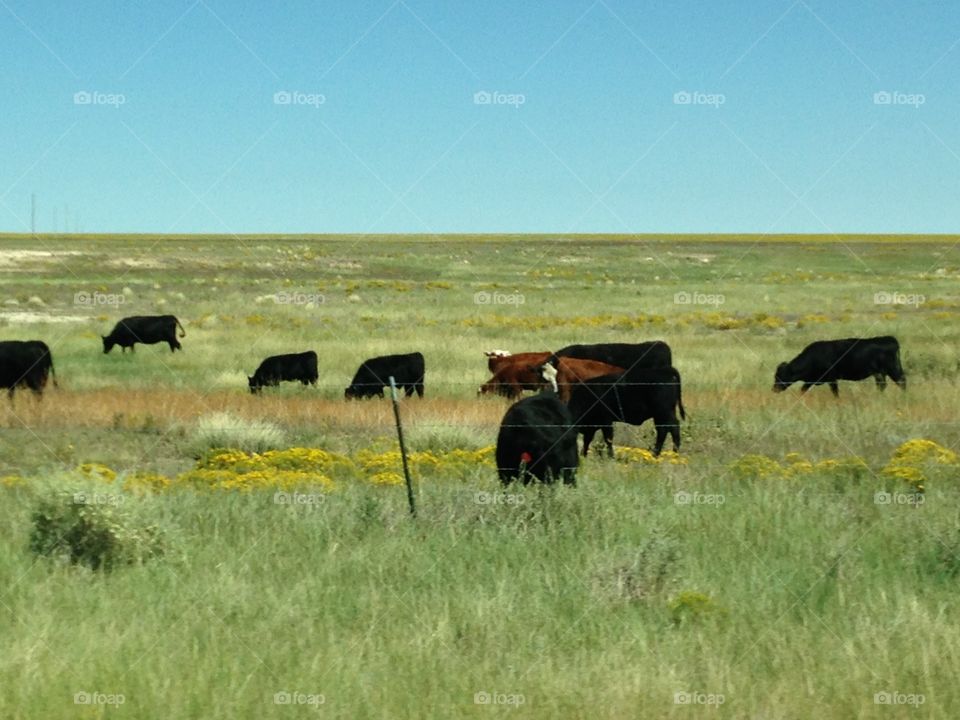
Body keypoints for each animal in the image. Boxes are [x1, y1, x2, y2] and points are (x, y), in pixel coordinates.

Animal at [773, 336, 906, 397]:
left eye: (780, 376)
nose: (774, 389)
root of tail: (889, 339)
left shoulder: (832, 378)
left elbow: (835, 392)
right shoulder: (812, 380)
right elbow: (803, 390)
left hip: (893, 369)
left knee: (901, 381)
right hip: (880, 373)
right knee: (882, 385)